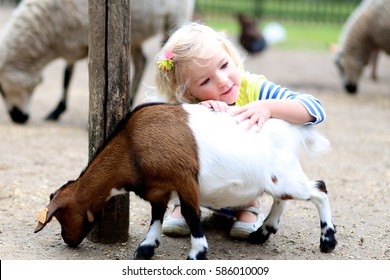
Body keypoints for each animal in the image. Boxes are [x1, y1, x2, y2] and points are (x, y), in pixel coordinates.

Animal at [0, 0, 195, 122]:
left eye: (1, 89)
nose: (18, 118)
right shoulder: (73, 42)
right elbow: (67, 75)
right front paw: (56, 111)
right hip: (132, 34)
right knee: (141, 61)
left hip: (174, 17)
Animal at [34, 101, 338, 260]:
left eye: (61, 217)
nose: (68, 241)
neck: (132, 145)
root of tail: (293, 130)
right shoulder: (158, 188)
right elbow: (156, 216)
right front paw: (146, 248)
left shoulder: (185, 178)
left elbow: (192, 215)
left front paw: (198, 253)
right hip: (278, 178)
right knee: (282, 199)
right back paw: (262, 233)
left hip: (284, 178)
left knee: (320, 189)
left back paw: (327, 240)